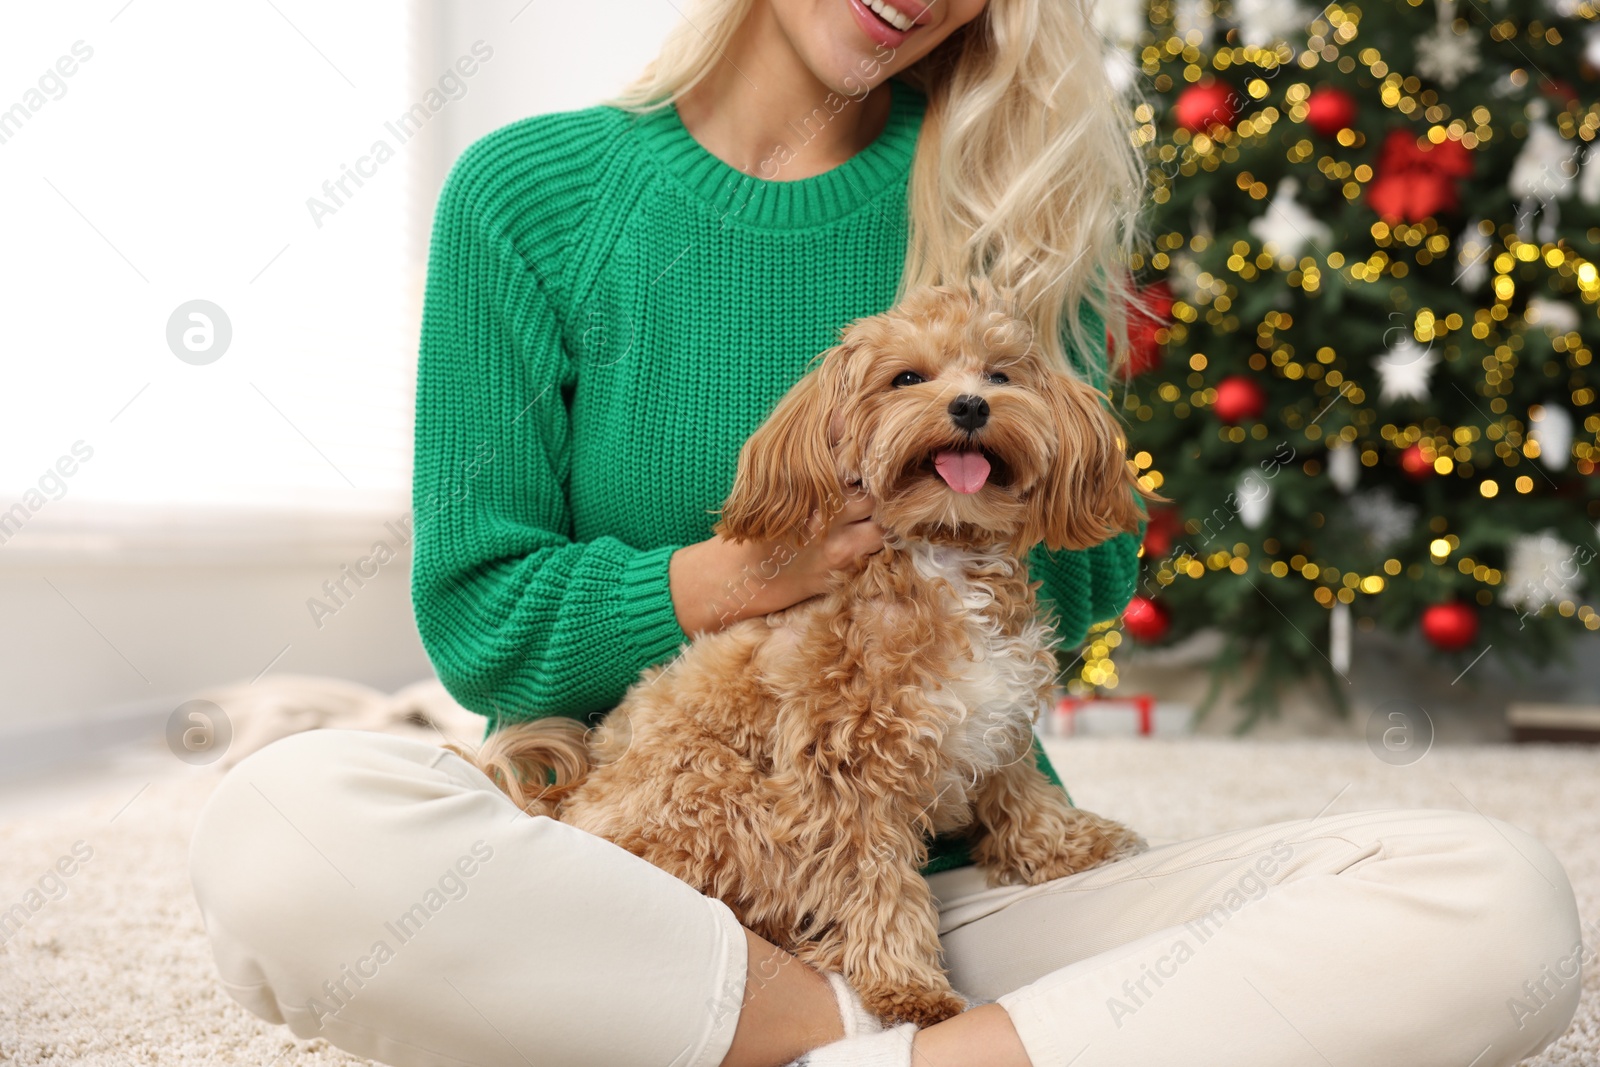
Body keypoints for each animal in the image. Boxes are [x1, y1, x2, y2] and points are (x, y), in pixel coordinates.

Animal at [464, 281, 1152, 1023]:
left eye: (1000, 374)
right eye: (906, 379)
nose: (971, 405)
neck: (943, 552)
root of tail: (562, 805)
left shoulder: (1000, 717)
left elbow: (1020, 792)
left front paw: (1070, 844)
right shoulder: (844, 776)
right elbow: (875, 884)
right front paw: (910, 987)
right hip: (714, 794)